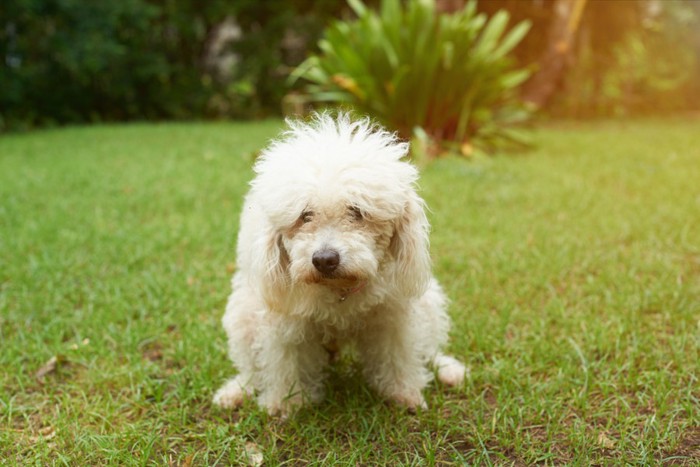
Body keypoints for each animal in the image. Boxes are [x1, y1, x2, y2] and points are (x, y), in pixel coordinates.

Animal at [213, 114, 464, 416]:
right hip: (242, 313)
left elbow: (398, 356)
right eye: (305, 215)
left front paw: (403, 393)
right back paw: (236, 391)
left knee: (429, 349)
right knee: (250, 368)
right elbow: (285, 362)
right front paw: (286, 403)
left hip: (429, 302)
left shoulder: (392, 315)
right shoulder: (284, 322)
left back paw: (448, 369)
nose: (324, 260)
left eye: (357, 211)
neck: (338, 291)